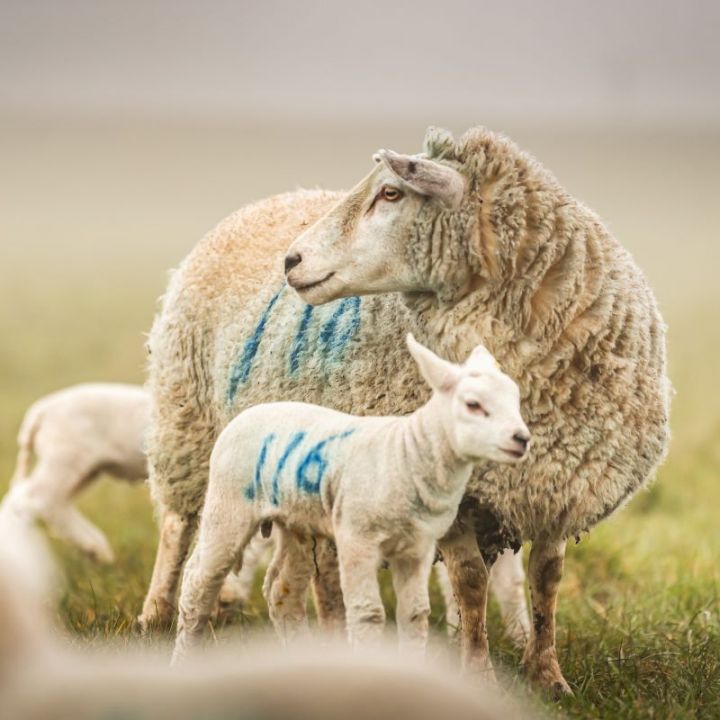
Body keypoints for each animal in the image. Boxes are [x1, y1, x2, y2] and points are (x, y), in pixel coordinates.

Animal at [173, 334, 528, 660]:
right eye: (473, 404)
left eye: (516, 400)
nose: (522, 438)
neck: (407, 451)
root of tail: (248, 412)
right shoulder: (357, 539)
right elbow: (368, 614)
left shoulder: (417, 548)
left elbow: (415, 615)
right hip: (228, 506)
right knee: (198, 583)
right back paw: (183, 657)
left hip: (297, 521)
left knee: (281, 589)